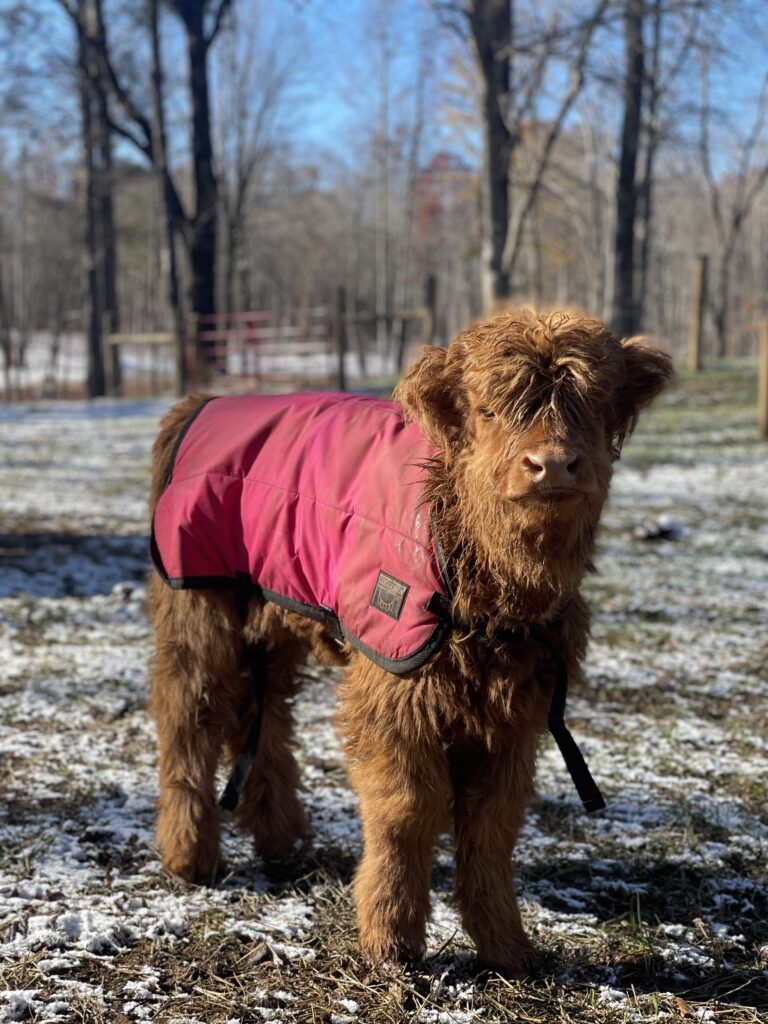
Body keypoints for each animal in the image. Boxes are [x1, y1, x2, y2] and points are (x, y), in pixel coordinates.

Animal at [147, 305, 671, 974]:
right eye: (489, 411)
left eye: (594, 405)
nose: (552, 464)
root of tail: (202, 402)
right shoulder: (396, 690)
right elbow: (407, 809)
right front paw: (391, 942)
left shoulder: (518, 706)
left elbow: (494, 823)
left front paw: (507, 947)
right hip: (198, 603)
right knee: (188, 712)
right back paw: (190, 856)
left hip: (275, 612)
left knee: (261, 715)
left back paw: (283, 839)